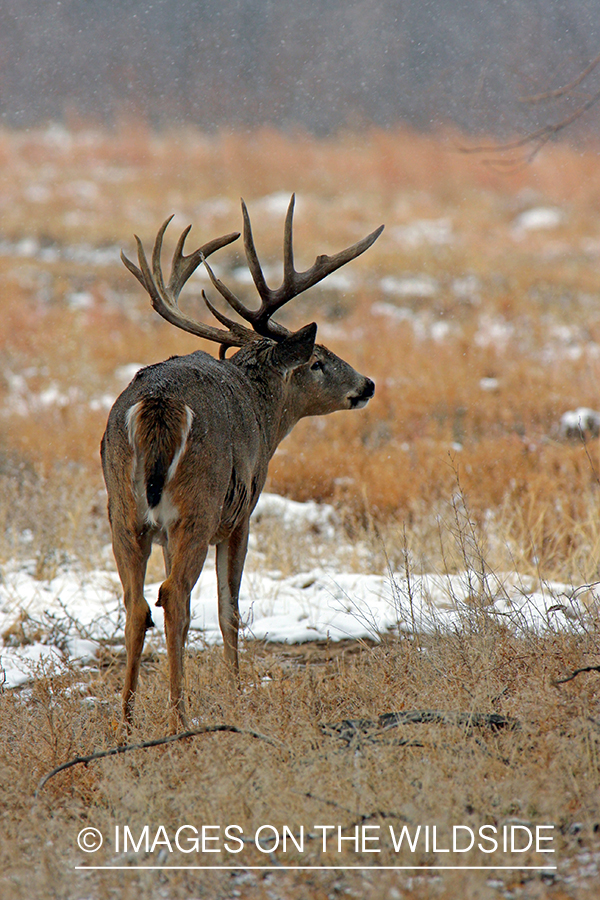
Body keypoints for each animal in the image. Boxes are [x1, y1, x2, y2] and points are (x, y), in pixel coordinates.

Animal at [102, 197, 384, 732]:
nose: (367, 385)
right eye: (317, 360)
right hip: (199, 505)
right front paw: (236, 694)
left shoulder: (164, 531)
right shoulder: (240, 516)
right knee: (174, 597)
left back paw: (126, 724)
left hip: (124, 511)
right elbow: (228, 609)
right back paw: (179, 720)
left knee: (137, 604)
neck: (262, 411)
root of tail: (158, 404)